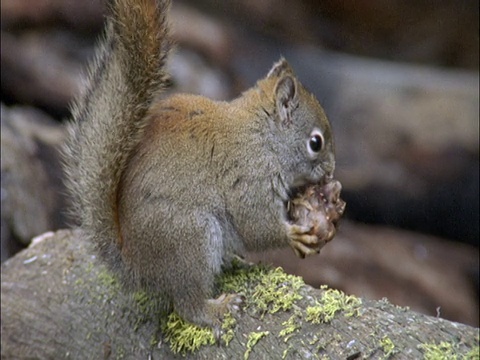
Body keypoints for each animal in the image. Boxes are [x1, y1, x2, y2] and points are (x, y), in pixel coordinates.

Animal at [61, 0, 338, 334]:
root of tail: (136, 266)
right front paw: (294, 237)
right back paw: (215, 309)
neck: (262, 138)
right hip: (191, 238)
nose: (331, 171)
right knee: (187, 304)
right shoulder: (248, 177)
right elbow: (257, 227)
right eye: (315, 143)